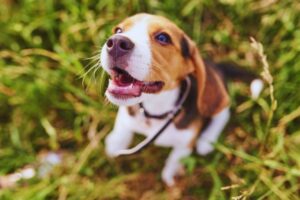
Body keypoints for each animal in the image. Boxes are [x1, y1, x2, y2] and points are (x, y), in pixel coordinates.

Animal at [99, 13, 262, 186]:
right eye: (118, 30)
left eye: (163, 38)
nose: (116, 42)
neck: (156, 109)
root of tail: (218, 67)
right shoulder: (128, 112)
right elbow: (123, 124)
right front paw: (115, 143)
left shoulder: (185, 144)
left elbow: (175, 158)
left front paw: (171, 175)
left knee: (223, 113)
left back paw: (206, 140)